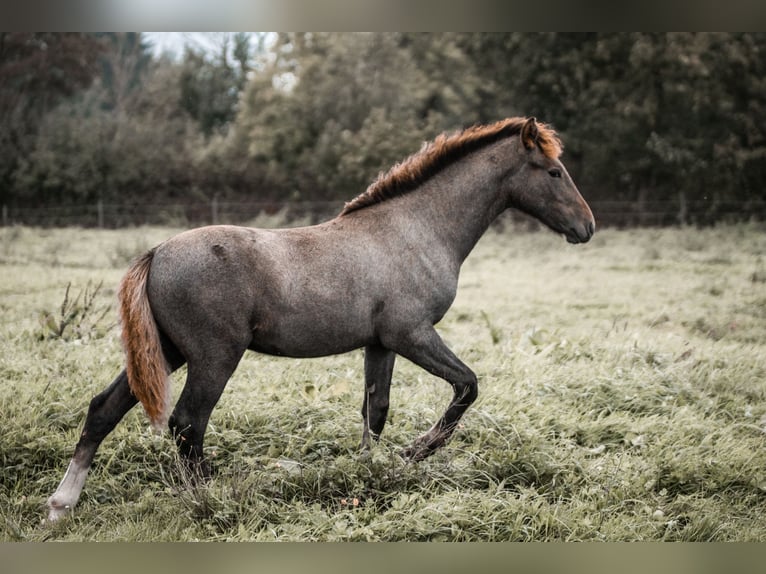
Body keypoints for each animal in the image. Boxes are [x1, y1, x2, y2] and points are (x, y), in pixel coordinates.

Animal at [46, 117, 600, 520]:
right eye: (553, 172)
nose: (587, 227)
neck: (416, 229)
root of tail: (157, 252)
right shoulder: (412, 334)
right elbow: (467, 387)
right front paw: (412, 454)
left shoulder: (380, 343)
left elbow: (375, 411)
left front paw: (370, 472)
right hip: (212, 357)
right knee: (187, 423)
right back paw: (210, 499)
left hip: (167, 351)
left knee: (104, 409)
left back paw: (61, 505)